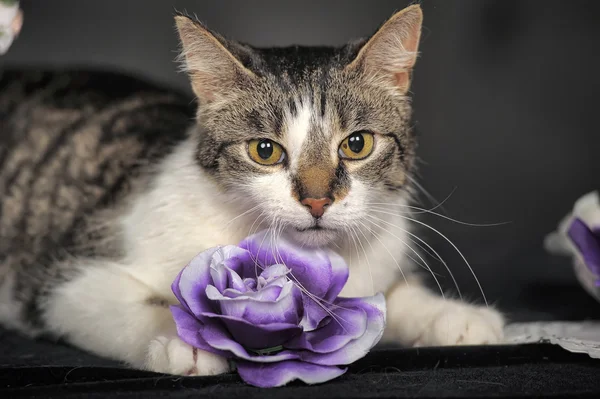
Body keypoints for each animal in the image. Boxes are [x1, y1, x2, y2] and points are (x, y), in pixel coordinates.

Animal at [0, 4, 502, 376]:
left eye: (357, 144)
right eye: (265, 151)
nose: (317, 199)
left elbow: (392, 295)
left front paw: (455, 317)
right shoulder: (67, 281)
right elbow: (118, 302)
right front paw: (184, 338)